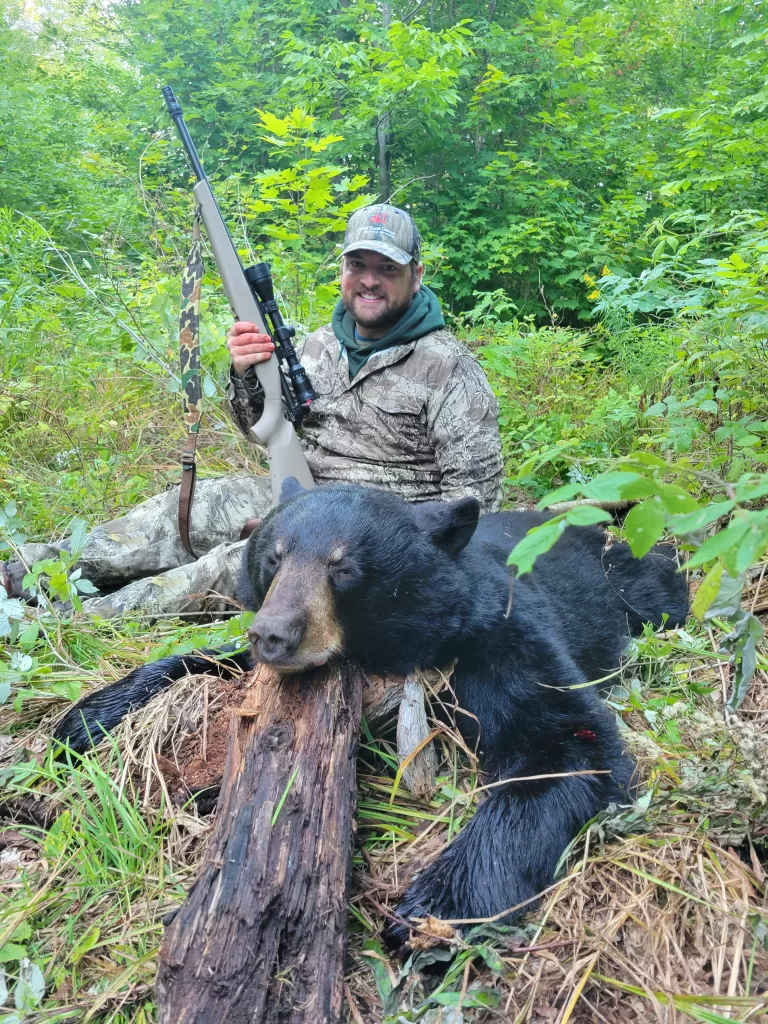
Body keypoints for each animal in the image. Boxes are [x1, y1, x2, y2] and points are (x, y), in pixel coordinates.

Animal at [54, 480, 688, 946]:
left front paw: (431, 908)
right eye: (273, 558)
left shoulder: (495, 636)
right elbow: (206, 661)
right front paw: (84, 719)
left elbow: (566, 738)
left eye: (344, 567)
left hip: (629, 577)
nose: (273, 634)